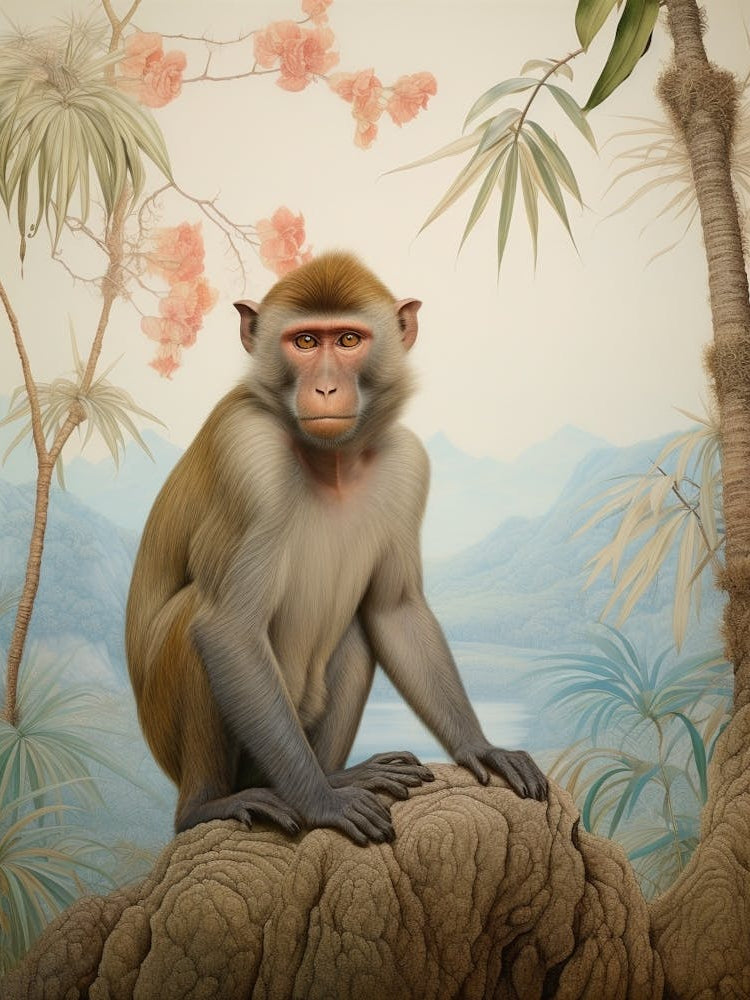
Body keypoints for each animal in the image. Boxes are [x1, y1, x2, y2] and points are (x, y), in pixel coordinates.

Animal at [125, 251, 548, 846]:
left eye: (348, 340)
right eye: (305, 342)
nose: (325, 388)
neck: (334, 462)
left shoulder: (407, 463)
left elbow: (394, 611)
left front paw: (479, 746)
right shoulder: (247, 451)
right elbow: (227, 628)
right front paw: (322, 803)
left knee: (355, 629)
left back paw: (339, 773)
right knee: (195, 620)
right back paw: (213, 805)